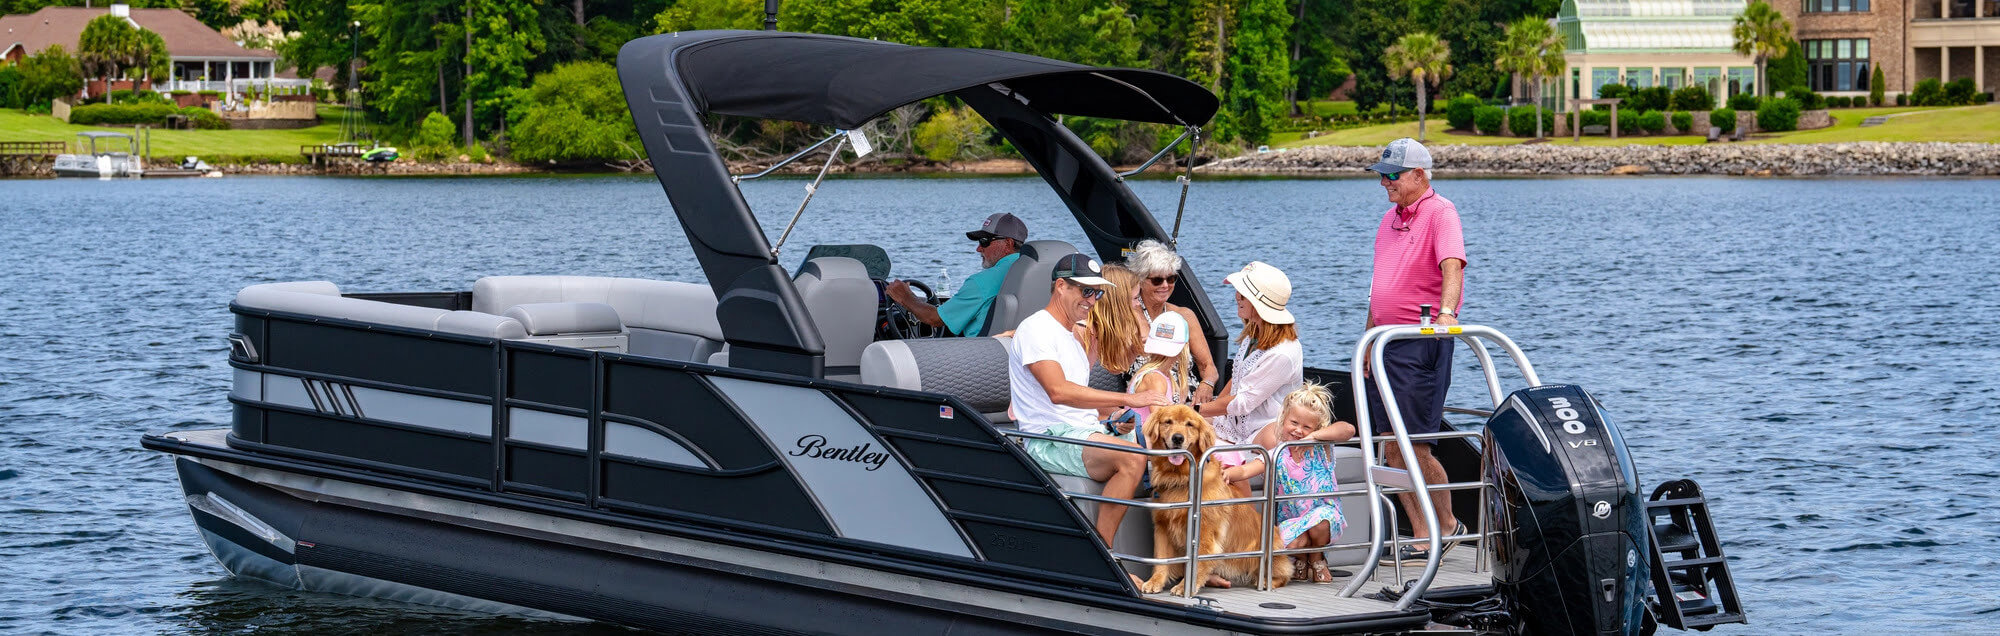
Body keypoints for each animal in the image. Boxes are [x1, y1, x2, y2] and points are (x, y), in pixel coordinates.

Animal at [1144, 404, 1296, 592]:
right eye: (1168, 422)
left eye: (1189, 424)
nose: (1178, 438)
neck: (1181, 478)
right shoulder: (1162, 526)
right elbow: (1161, 559)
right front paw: (1155, 582)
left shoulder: (1205, 530)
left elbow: (1197, 562)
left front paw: (1184, 587)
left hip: (1268, 546)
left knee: (1283, 574)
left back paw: (1267, 582)